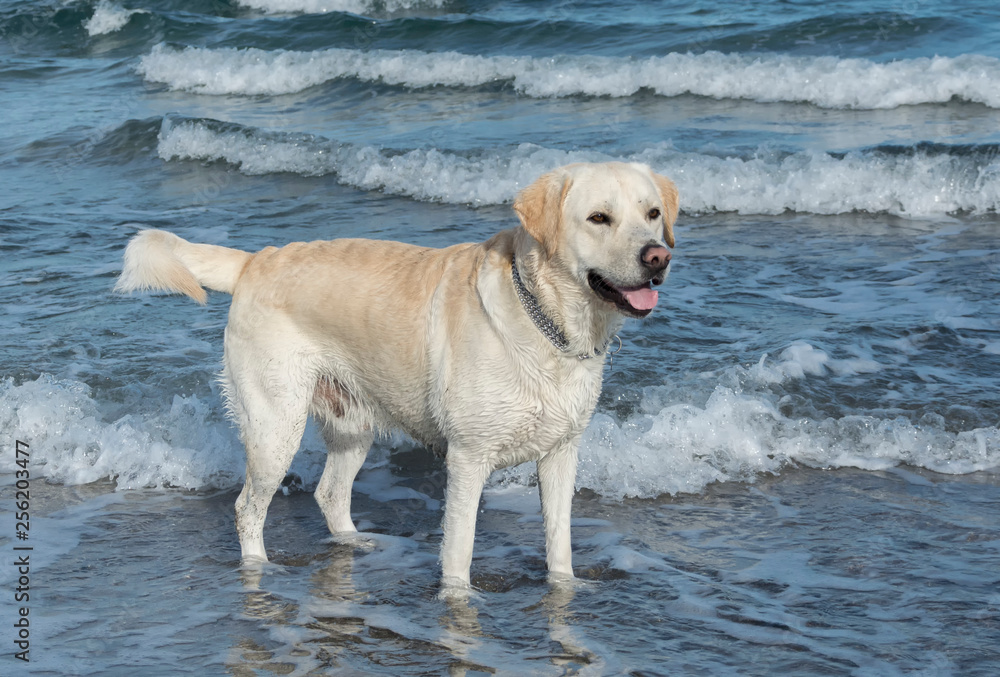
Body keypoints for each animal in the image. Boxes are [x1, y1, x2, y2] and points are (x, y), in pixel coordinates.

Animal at [119, 161, 680, 584]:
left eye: (652, 213)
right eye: (599, 218)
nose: (658, 256)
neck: (547, 321)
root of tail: (255, 261)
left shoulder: (562, 453)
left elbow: (559, 546)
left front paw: (564, 589)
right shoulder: (468, 459)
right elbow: (458, 553)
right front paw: (457, 604)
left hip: (352, 421)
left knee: (329, 492)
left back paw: (355, 542)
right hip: (275, 424)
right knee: (247, 507)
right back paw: (260, 568)